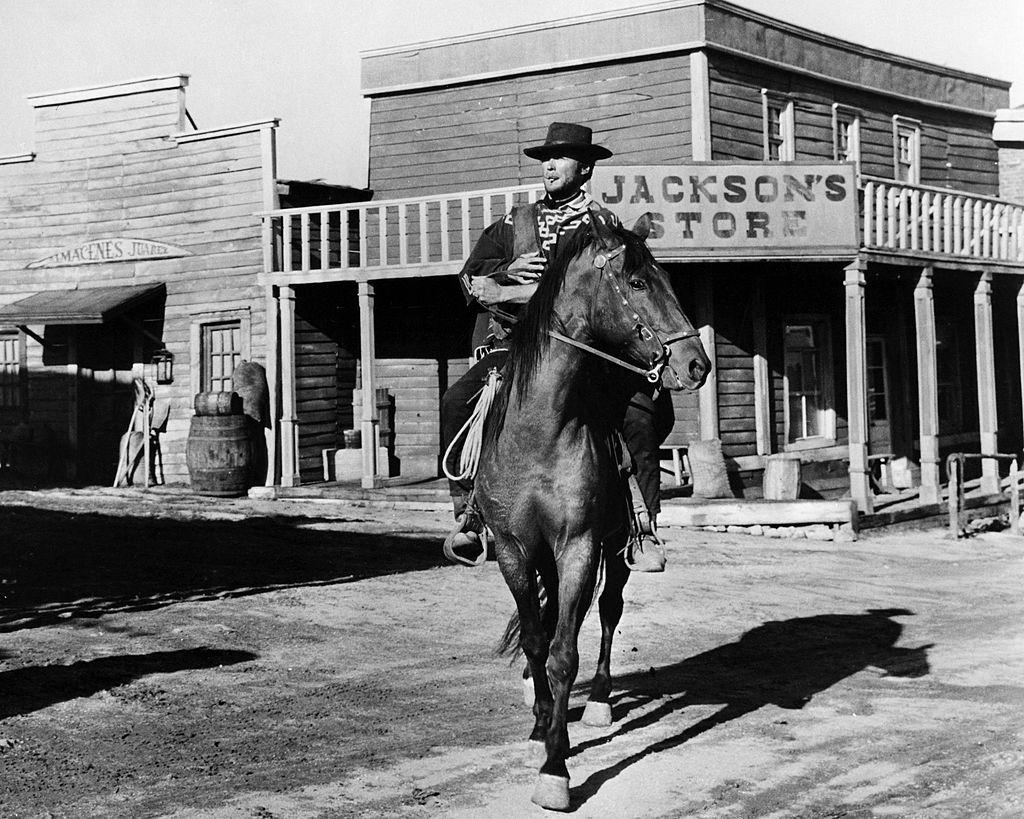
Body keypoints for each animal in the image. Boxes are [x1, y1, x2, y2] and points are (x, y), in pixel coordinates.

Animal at [475, 209, 708, 806]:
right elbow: (538, 641)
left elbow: (565, 653)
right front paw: (540, 734)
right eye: (638, 282)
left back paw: (600, 700)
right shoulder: (515, 549)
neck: (540, 430)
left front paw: (555, 769)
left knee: (606, 611)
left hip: (615, 544)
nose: (697, 364)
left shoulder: (578, 544)